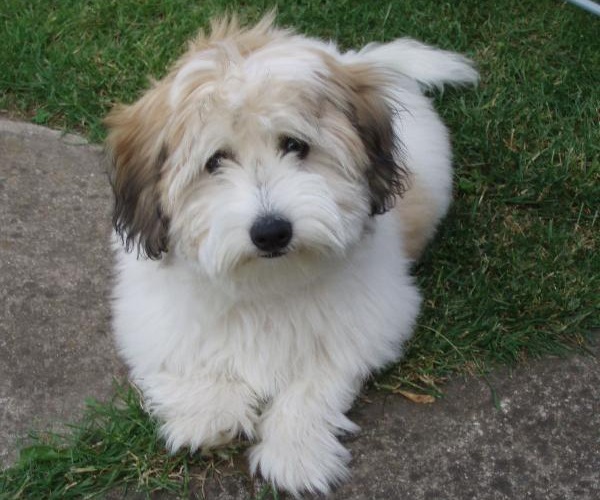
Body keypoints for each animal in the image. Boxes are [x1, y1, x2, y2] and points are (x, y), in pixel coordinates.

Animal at [104, 12, 478, 496]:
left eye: (295, 145)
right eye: (215, 161)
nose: (271, 231)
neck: (266, 280)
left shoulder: (369, 319)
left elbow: (316, 381)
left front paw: (295, 452)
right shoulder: (150, 311)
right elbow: (180, 352)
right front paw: (208, 411)